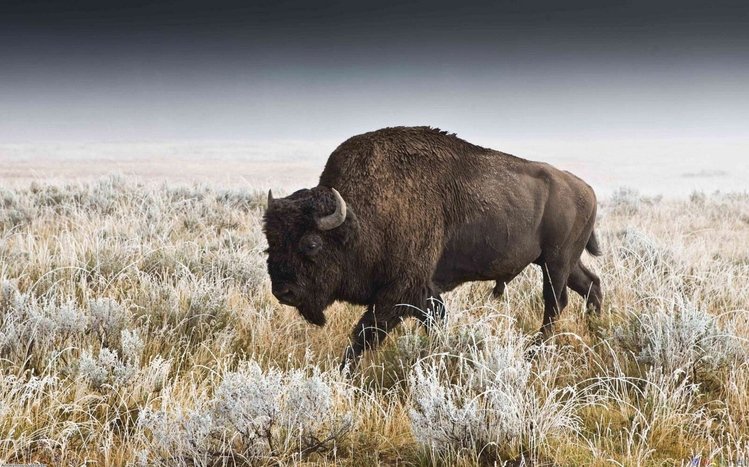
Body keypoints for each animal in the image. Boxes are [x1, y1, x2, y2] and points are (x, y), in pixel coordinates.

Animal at [263, 126, 602, 370]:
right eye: (270, 242)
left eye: (311, 243)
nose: (283, 291)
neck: (361, 218)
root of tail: (586, 189)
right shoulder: (423, 293)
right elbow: (433, 322)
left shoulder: (398, 293)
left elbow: (365, 334)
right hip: (560, 261)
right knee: (591, 285)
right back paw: (596, 331)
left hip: (556, 262)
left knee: (555, 302)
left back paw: (535, 352)